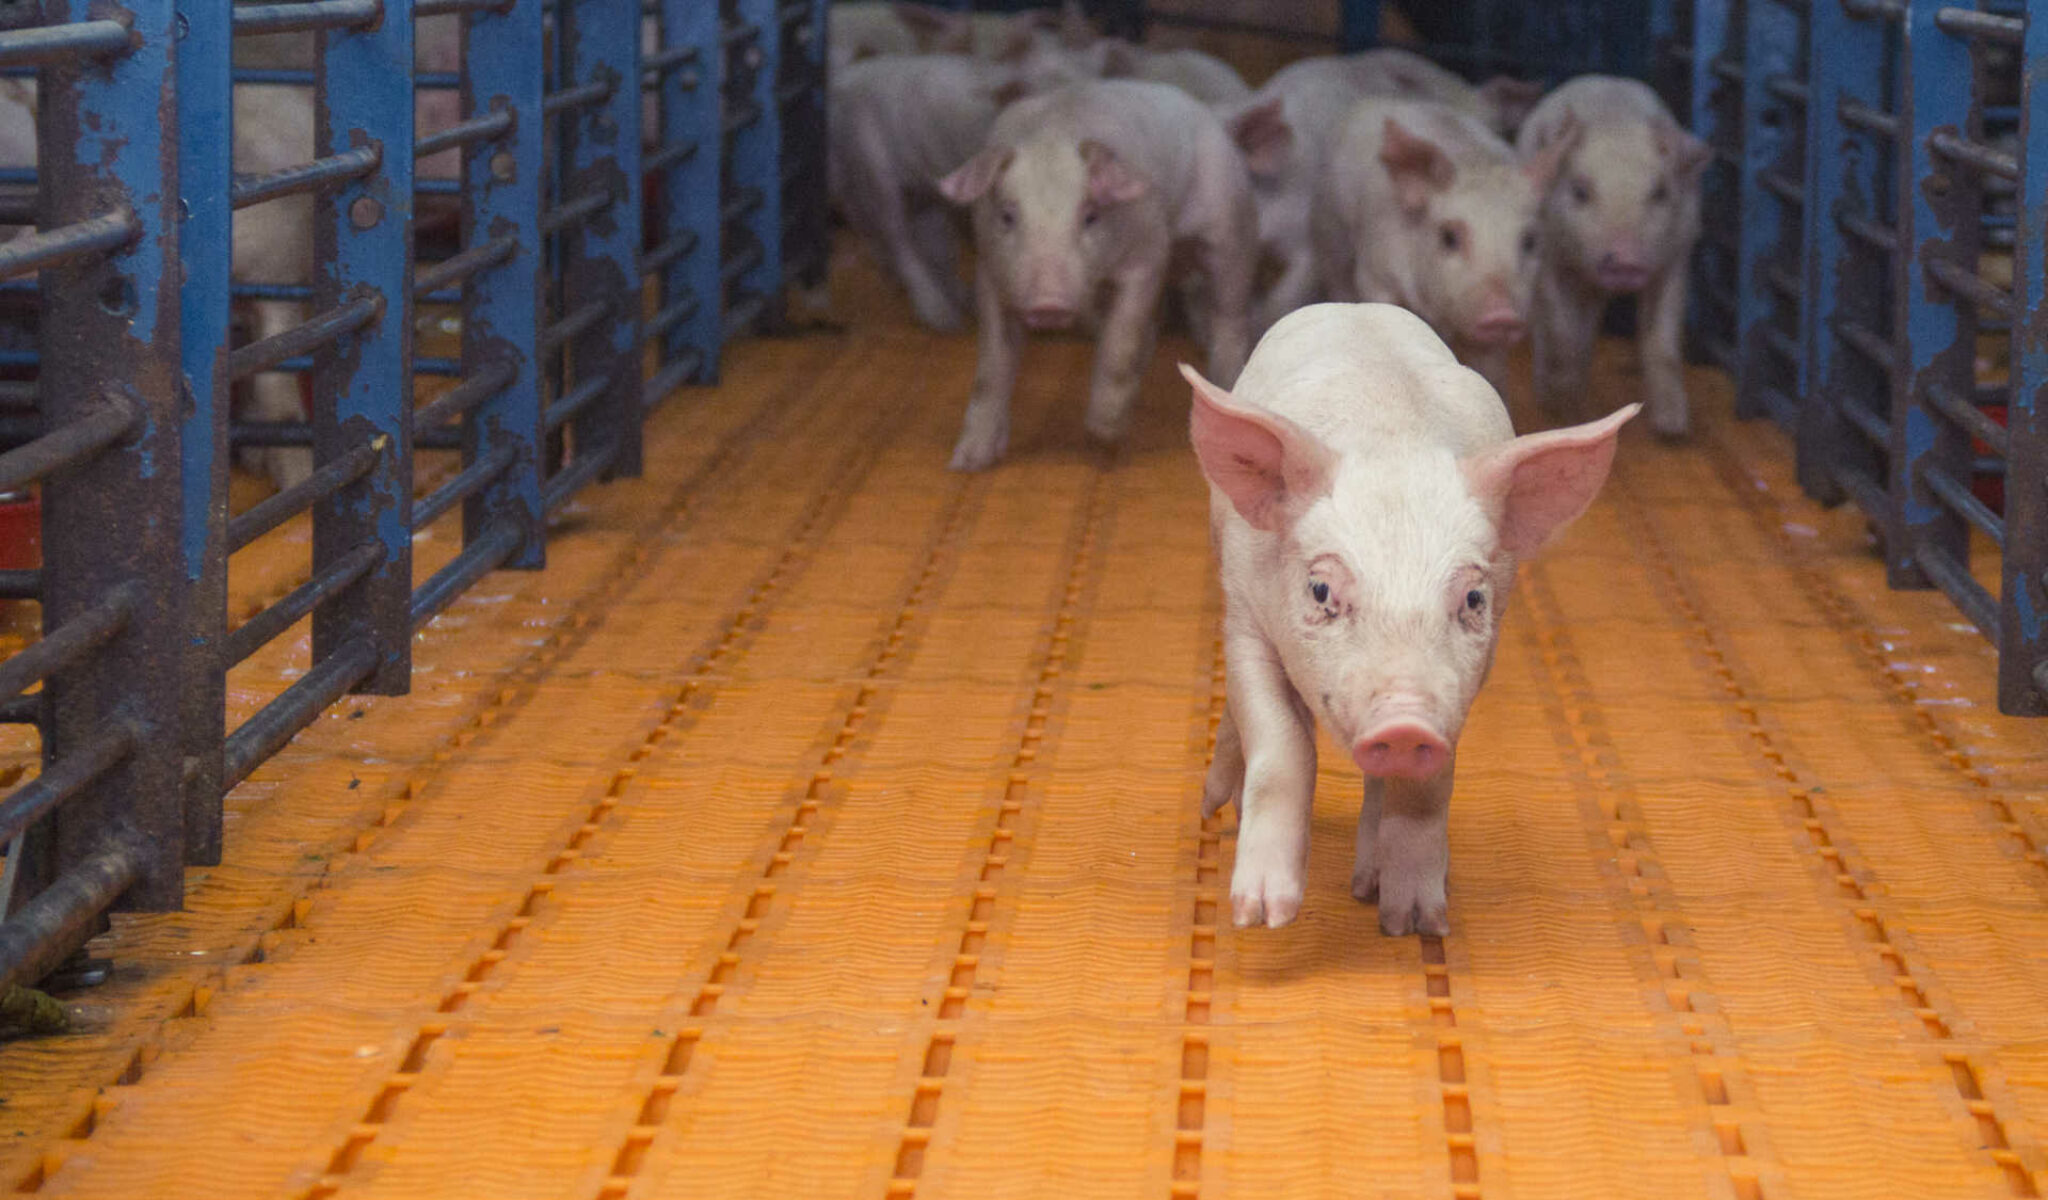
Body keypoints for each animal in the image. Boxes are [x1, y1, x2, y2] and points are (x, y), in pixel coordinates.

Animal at [942, 77, 1261, 470]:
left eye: (1090, 216)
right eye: (1007, 216)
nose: (1048, 303)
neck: (1055, 132)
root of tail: (1215, 117)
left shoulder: (1148, 253)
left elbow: (1120, 340)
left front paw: (1104, 433)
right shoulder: (990, 272)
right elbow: (991, 367)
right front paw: (967, 461)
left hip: (1233, 226)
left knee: (1229, 316)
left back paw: (1227, 385)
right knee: (1156, 325)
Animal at [1187, 301, 1630, 933]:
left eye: (1473, 599)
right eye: (1320, 589)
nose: (1404, 724)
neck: (1391, 436)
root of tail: (1353, 305)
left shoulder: (1472, 670)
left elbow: (1426, 787)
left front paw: (1416, 924)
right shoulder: (1245, 614)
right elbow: (1282, 745)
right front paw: (1261, 916)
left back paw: (1368, 887)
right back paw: (1216, 805)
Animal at [1523, 75, 1712, 438]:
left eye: (1660, 192)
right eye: (1580, 191)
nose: (1626, 258)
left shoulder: (1677, 253)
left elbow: (1662, 340)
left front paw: (1672, 430)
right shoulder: (1548, 254)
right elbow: (1561, 327)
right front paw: (1565, 407)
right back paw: (1549, 393)